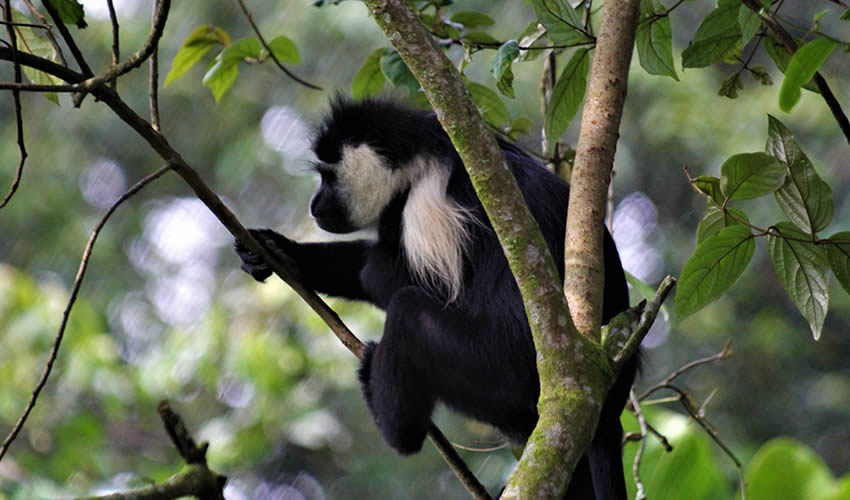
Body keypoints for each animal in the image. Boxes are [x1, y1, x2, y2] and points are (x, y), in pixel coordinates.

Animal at [235, 98, 639, 499]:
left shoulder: (425, 204)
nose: (314, 204)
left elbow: (393, 277)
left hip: (498, 369)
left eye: (328, 176)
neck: (418, 154)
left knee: (409, 312)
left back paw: (391, 418)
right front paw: (279, 251)